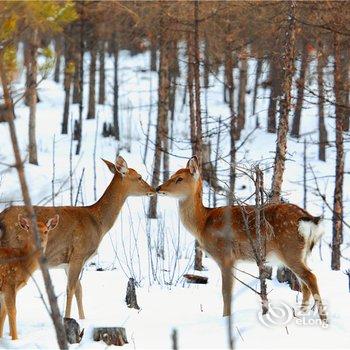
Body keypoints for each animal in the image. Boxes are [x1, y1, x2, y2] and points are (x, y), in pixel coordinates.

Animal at [0, 156, 154, 320]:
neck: (98, 222)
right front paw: (67, 318)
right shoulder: (78, 253)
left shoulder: (69, 263)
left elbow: (79, 289)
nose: (153, 190)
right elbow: (71, 288)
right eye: (140, 177)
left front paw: (82, 318)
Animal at [157, 157, 326, 322]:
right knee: (305, 285)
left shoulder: (226, 256)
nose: (158, 188)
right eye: (172, 175)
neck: (202, 223)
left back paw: (323, 318)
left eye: (179, 178)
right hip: (301, 253)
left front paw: (225, 318)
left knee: (311, 278)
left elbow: (226, 292)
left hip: (290, 249)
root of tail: (308, 219)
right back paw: (300, 315)